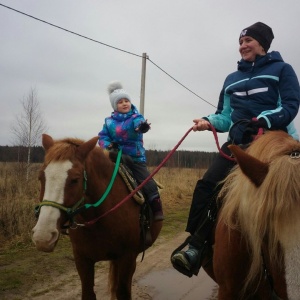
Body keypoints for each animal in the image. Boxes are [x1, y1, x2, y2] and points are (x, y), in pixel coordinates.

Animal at [31, 134, 163, 300]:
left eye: (75, 179)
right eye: (41, 177)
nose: (43, 237)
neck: (99, 220)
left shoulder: (127, 258)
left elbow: (123, 292)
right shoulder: (82, 260)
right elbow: (88, 292)